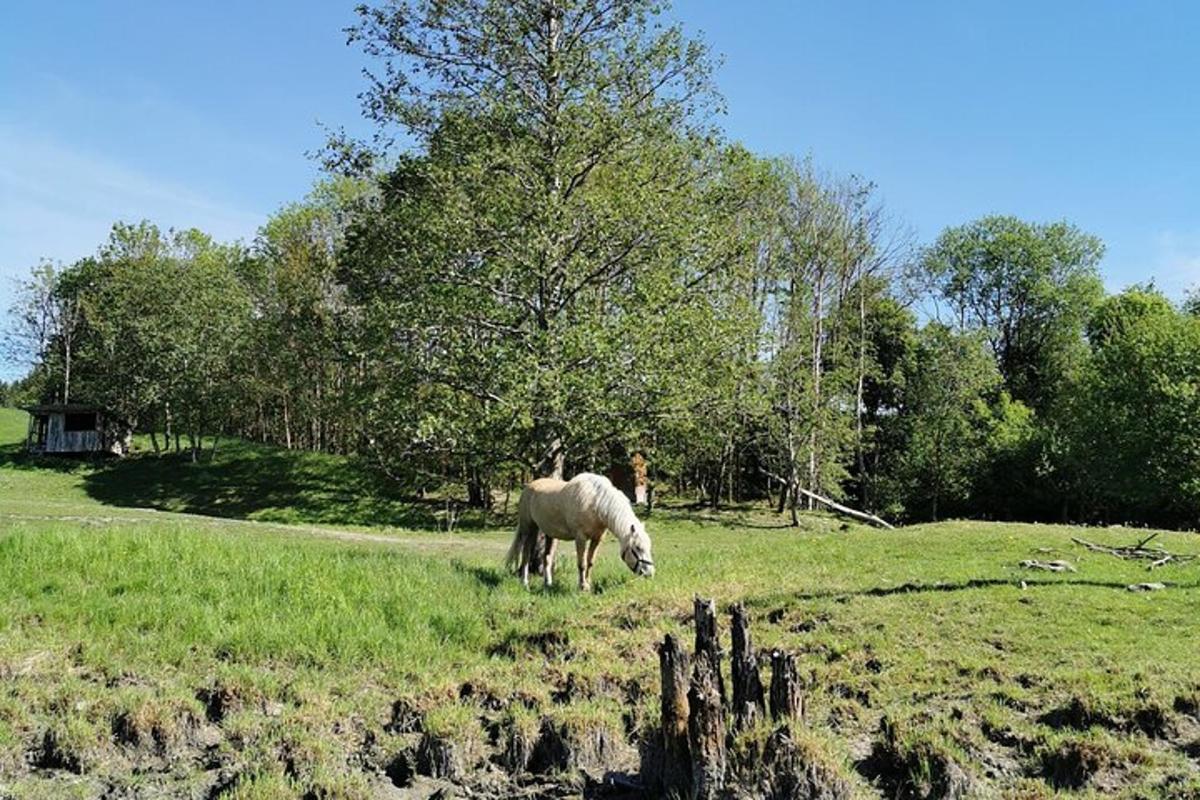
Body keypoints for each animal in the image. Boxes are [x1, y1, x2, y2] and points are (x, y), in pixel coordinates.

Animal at [506, 472, 657, 592]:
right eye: (637, 548)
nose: (650, 573)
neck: (595, 502)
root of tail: (528, 487)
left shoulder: (597, 538)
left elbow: (590, 562)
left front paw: (588, 584)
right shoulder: (580, 538)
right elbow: (582, 564)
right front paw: (582, 586)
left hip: (551, 535)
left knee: (547, 558)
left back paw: (548, 584)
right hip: (529, 529)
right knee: (525, 555)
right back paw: (525, 583)